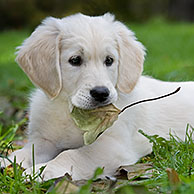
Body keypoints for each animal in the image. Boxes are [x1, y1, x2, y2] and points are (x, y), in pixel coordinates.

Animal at [1, 13, 194, 180]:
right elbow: (25, 152)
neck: (72, 112)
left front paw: (44, 169)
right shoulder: (45, 140)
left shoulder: (112, 144)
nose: (101, 93)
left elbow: (72, 154)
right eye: (75, 60)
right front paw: (7, 162)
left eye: (109, 60)